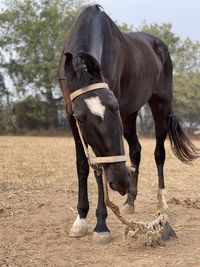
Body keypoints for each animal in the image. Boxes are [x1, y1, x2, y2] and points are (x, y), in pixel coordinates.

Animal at [57, 5, 198, 245]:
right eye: (81, 117)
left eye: (114, 107)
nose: (121, 182)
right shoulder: (69, 114)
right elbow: (83, 165)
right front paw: (81, 220)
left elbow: (99, 170)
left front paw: (101, 226)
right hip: (130, 115)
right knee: (135, 150)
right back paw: (130, 202)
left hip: (159, 106)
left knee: (159, 153)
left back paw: (162, 203)